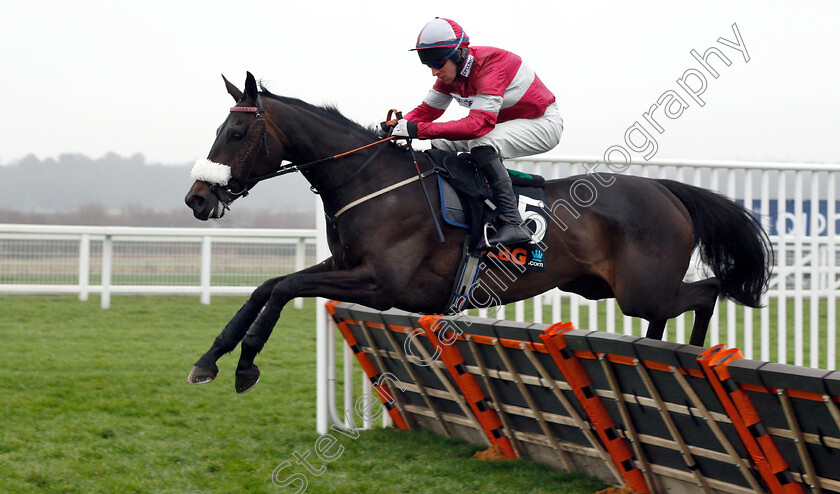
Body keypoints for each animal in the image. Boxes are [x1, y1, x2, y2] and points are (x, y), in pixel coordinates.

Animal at [185, 72, 776, 394]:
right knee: (672, 309)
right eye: (217, 128)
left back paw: (690, 357)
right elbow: (267, 288)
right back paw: (650, 352)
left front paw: (244, 364)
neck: (373, 181)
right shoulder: (343, 267)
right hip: (604, 288)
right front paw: (212, 358)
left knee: (706, 292)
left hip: (642, 288)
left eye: (235, 132)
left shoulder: (380, 284)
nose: (197, 198)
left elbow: (284, 287)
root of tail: (665, 189)